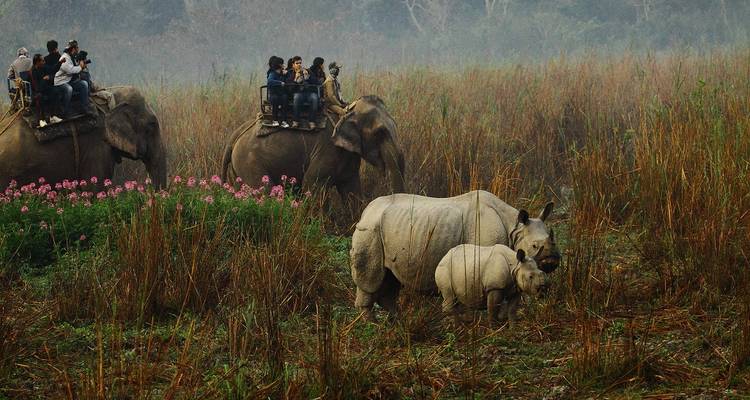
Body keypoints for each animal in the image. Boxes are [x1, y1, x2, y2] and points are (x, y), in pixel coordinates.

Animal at [221, 96, 406, 210]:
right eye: (380, 133)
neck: (346, 111)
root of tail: (236, 135)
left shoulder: (348, 156)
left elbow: (351, 190)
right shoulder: (328, 149)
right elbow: (312, 184)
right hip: (249, 162)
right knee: (264, 192)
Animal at [349, 190, 560, 318]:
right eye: (535, 246)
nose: (552, 261)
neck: (514, 227)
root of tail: (365, 211)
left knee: (390, 280)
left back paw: (397, 323)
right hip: (370, 230)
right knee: (370, 281)